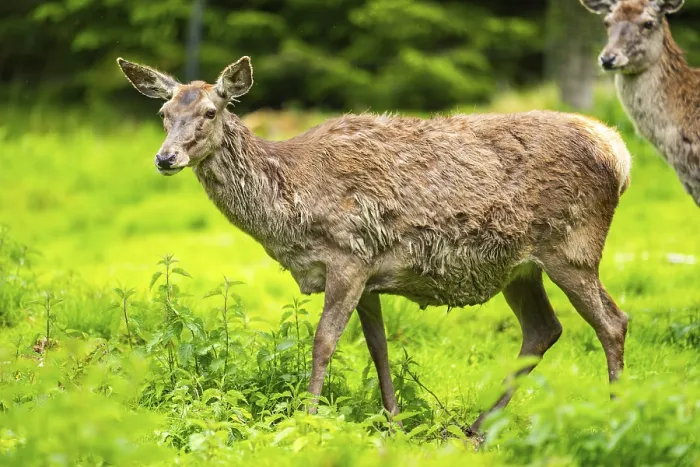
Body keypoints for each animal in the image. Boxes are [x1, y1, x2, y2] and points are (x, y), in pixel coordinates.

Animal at [117, 55, 631, 435]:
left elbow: (324, 341)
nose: (166, 157)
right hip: (519, 267)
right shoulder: (369, 273)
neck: (292, 207)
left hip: (573, 247)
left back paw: (612, 416)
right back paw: (476, 428)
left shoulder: (348, 256)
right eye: (163, 115)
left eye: (209, 112)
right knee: (543, 329)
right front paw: (394, 422)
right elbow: (378, 346)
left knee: (612, 322)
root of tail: (619, 153)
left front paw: (308, 419)